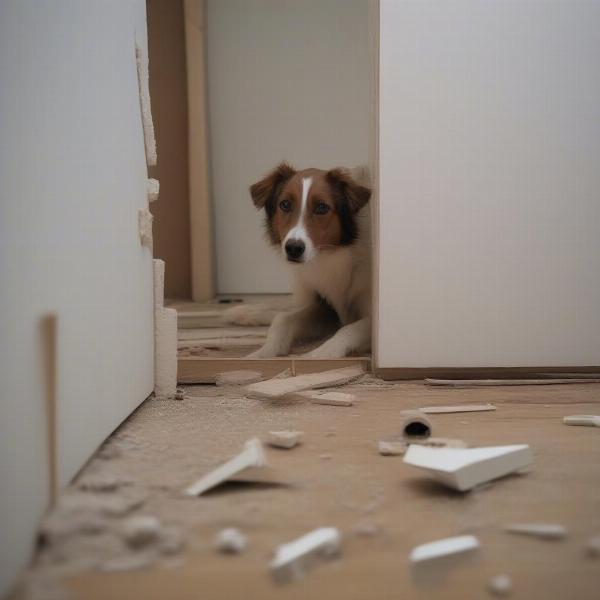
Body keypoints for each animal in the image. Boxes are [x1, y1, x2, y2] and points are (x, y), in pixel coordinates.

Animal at [225, 162, 370, 358]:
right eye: (285, 204)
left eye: (322, 207)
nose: (293, 248)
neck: (342, 253)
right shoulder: (326, 306)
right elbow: (283, 319)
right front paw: (263, 353)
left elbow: (349, 329)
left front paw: (319, 354)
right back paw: (241, 312)